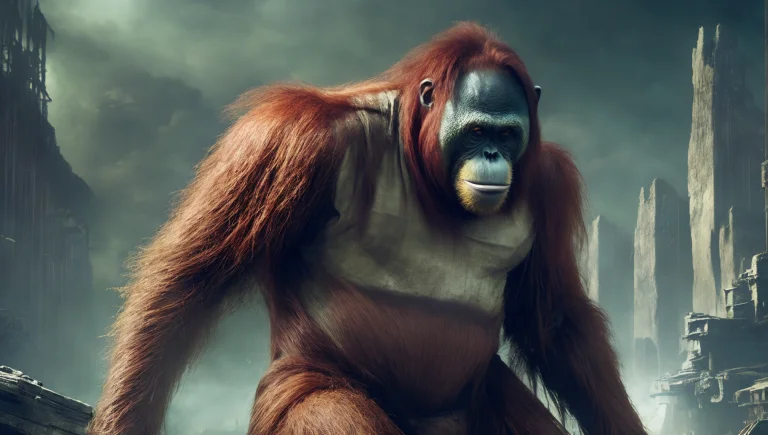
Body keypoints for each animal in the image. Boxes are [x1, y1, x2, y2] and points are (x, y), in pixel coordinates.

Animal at [88, 22, 647, 435]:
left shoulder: (549, 181)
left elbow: (553, 319)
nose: (492, 155)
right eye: (476, 132)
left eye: (508, 135)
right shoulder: (291, 138)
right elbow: (189, 279)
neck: (430, 181)